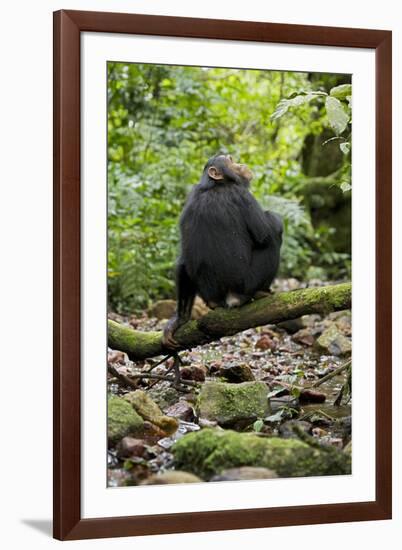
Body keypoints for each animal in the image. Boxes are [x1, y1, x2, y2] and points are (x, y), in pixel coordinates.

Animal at [163, 153, 282, 350]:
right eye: (230, 160)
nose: (240, 164)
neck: (215, 185)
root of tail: (228, 297)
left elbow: (183, 258)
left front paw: (179, 320)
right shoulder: (242, 195)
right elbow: (266, 233)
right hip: (247, 283)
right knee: (272, 238)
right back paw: (261, 292)